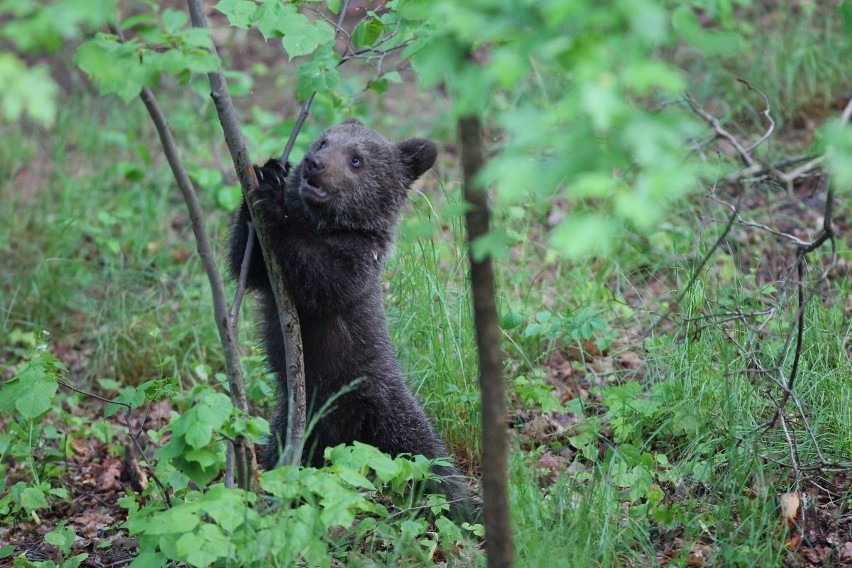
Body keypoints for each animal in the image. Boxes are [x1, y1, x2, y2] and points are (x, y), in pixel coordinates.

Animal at [226, 120, 470, 510]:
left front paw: (276, 207)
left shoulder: (358, 263)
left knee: (430, 461)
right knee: (279, 456)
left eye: (357, 159)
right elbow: (246, 266)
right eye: (324, 141)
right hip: (292, 427)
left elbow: (323, 274)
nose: (314, 164)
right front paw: (269, 173)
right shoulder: (269, 276)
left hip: (387, 410)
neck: (329, 225)